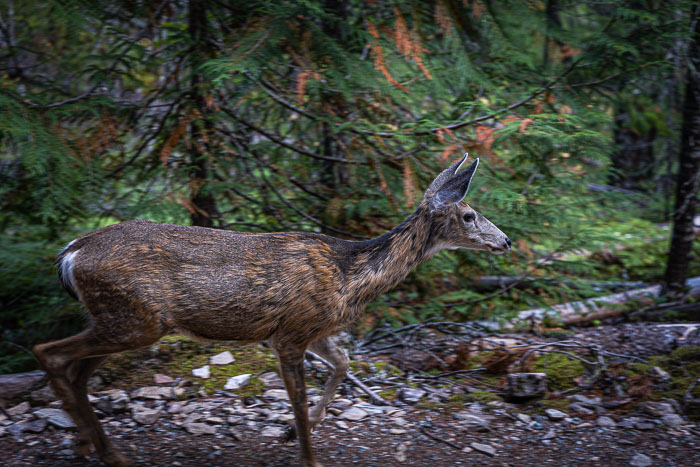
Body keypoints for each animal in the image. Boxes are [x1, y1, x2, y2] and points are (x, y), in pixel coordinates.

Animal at [32, 154, 508, 467]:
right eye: (469, 215)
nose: (504, 241)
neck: (350, 275)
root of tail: (71, 253)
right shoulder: (291, 332)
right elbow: (297, 396)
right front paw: (308, 455)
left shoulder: (311, 329)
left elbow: (342, 363)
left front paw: (293, 431)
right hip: (134, 319)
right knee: (48, 352)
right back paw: (100, 449)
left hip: (120, 319)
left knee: (77, 371)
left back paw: (95, 447)